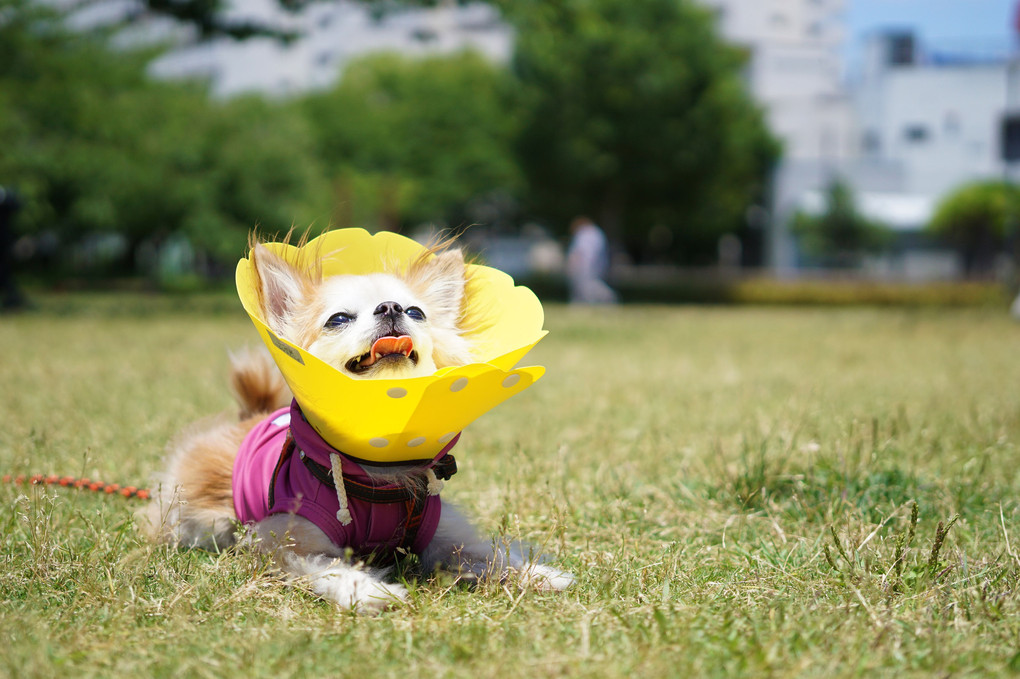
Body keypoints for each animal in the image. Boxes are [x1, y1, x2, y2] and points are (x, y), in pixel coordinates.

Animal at [141, 235, 575, 611]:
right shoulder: (285, 540)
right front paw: (370, 592)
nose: (391, 307)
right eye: (338, 319)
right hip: (199, 516)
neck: (376, 475)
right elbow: (330, 567)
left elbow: (488, 555)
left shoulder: (444, 536)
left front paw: (536, 573)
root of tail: (254, 416)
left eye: (415, 312)